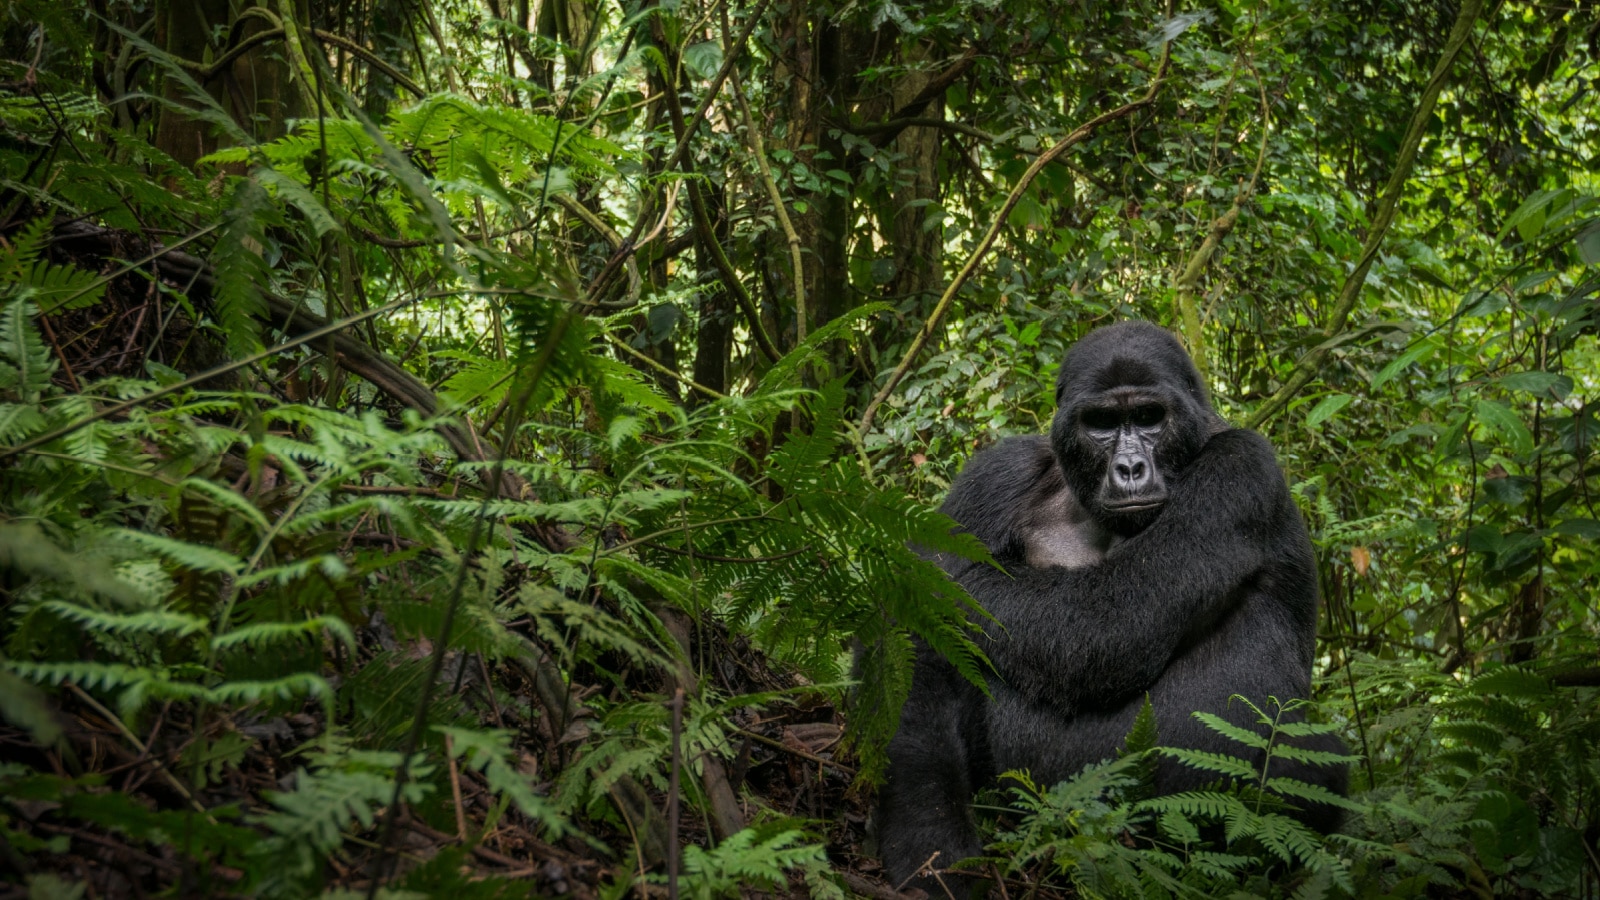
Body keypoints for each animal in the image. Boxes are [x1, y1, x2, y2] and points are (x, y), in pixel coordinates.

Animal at [883, 320, 1344, 890]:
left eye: (1148, 417)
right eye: (1102, 423)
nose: (1129, 468)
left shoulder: (1242, 467)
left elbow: (1104, 623)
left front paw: (912, 568)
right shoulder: (997, 471)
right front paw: (927, 834)